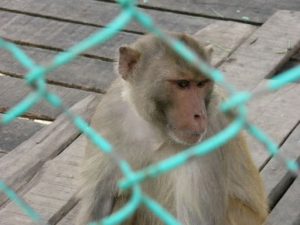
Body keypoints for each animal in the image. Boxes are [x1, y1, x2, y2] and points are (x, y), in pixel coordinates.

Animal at [76, 32, 268, 225]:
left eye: (201, 84)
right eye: (183, 84)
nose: (200, 115)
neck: (155, 130)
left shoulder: (210, 131)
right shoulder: (108, 115)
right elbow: (99, 201)